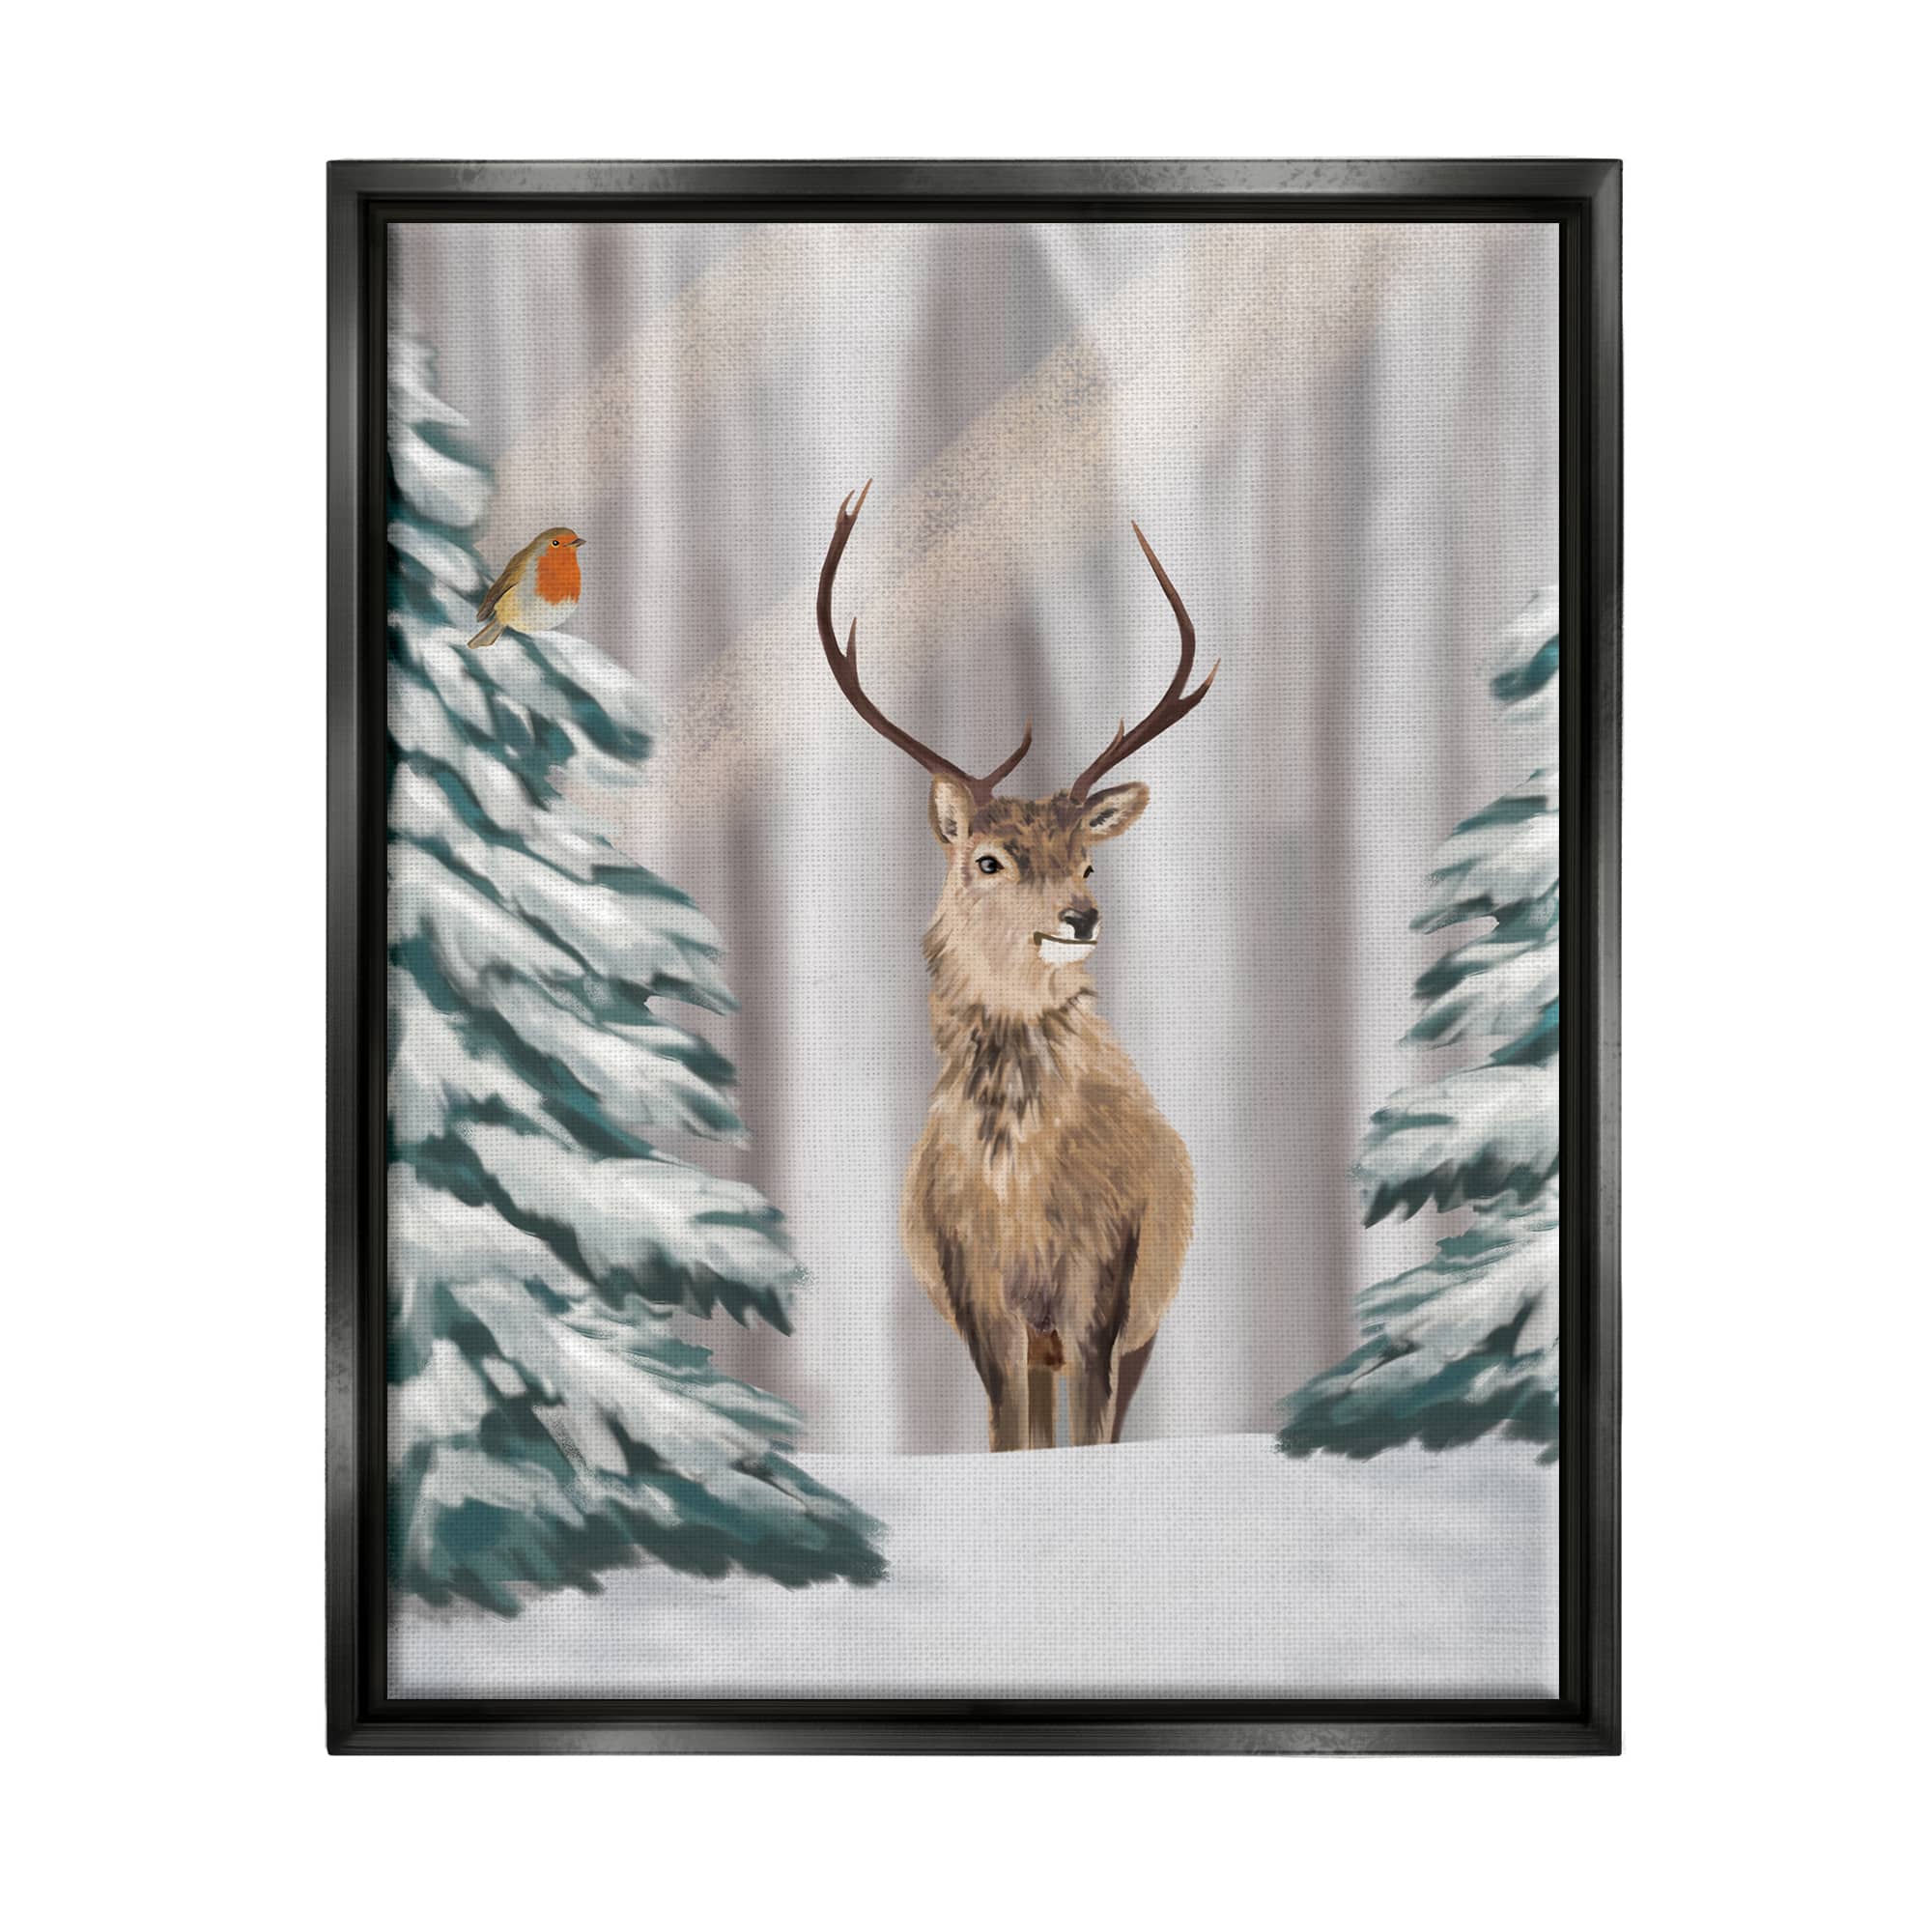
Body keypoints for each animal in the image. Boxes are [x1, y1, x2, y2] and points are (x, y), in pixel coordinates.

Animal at [817, 482, 1218, 1451]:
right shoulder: (974, 1284)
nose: (1082, 917)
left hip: (1146, 1312)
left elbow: (1091, 1432)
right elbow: (1006, 1439)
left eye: (1089, 861)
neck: (1020, 1188)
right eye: (989, 859)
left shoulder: (1108, 1272)